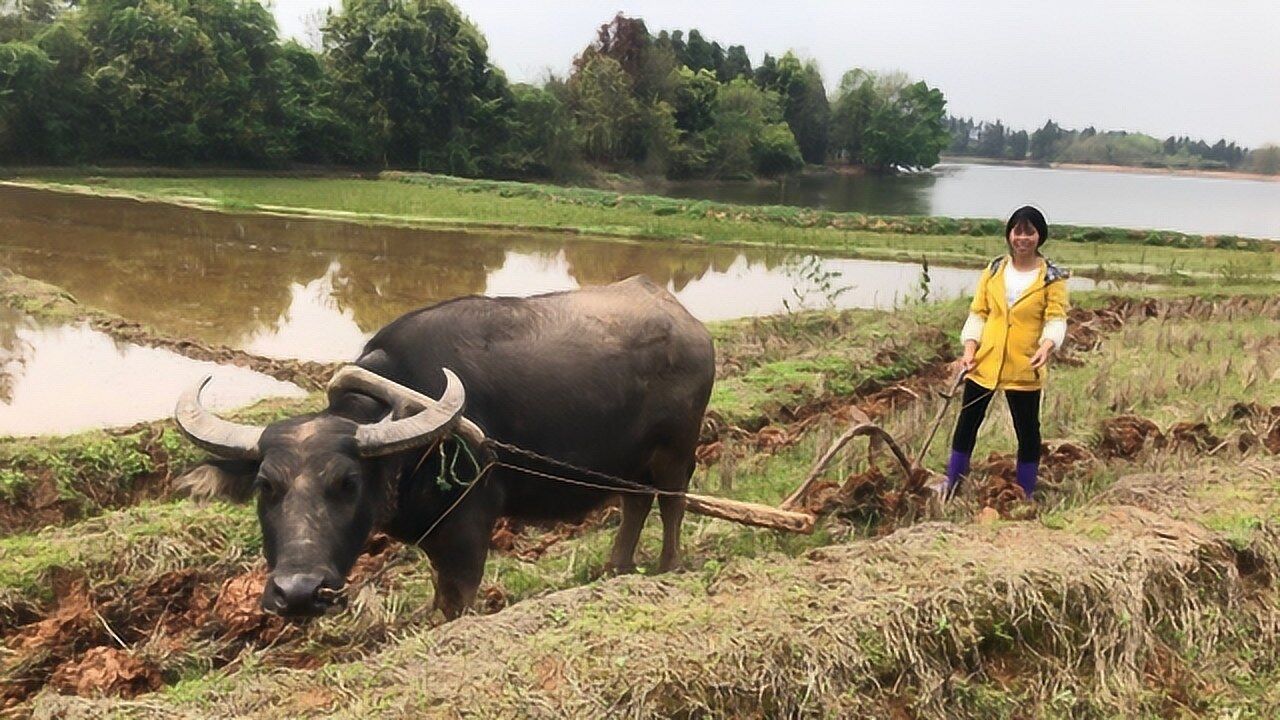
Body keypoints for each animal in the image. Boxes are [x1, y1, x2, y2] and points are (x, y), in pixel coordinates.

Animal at [177, 274, 721, 617]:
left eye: (347, 483)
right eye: (265, 486)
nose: (298, 593)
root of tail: (689, 324)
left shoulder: (468, 530)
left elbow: (456, 602)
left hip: (677, 452)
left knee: (671, 505)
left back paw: (667, 567)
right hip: (629, 462)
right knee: (635, 504)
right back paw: (617, 569)